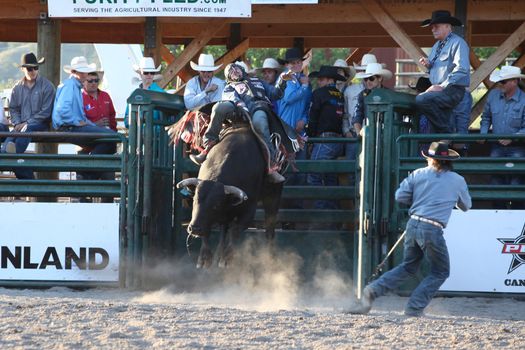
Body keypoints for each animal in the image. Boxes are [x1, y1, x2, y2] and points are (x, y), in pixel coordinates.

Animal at [168, 101, 298, 268]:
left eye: (215, 205)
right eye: (195, 200)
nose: (194, 228)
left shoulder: (248, 211)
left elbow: (235, 232)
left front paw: (226, 258)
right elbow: (212, 231)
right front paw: (205, 258)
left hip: (274, 194)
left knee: (269, 227)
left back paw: (270, 256)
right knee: (224, 228)